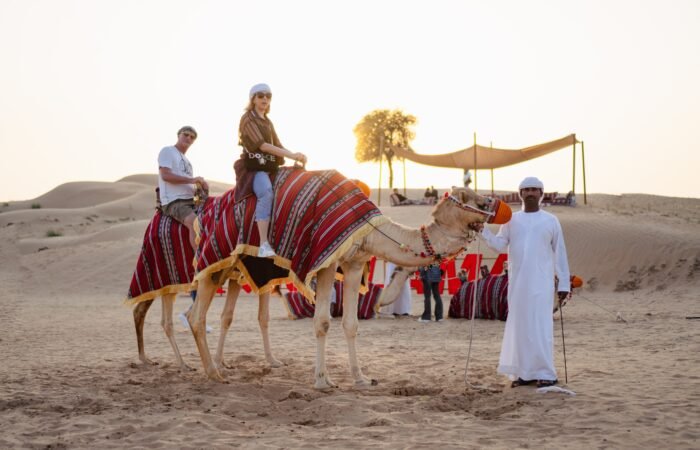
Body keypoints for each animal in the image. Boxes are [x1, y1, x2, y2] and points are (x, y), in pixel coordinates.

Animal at [187, 184, 511, 388]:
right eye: (468, 196)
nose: (494, 205)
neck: (373, 233)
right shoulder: (327, 262)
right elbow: (322, 321)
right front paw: (322, 380)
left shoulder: (355, 265)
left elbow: (351, 323)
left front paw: (361, 378)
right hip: (215, 262)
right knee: (197, 315)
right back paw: (213, 373)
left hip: (236, 269)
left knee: (224, 314)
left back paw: (222, 366)